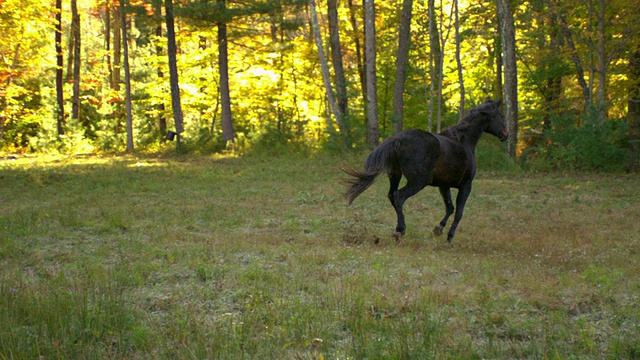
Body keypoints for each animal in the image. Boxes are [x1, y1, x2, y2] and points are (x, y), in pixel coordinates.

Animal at [342, 99, 508, 242]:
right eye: (500, 116)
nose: (506, 134)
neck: (464, 140)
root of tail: (398, 139)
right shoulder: (466, 185)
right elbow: (459, 213)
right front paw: (449, 237)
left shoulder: (444, 185)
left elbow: (450, 207)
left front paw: (438, 229)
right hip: (418, 182)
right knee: (399, 196)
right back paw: (400, 230)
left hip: (395, 175)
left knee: (391, 195)